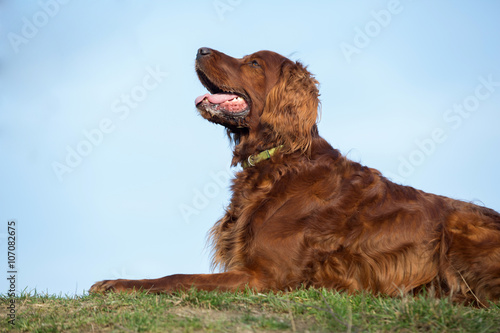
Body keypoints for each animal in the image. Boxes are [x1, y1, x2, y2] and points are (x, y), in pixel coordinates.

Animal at [91, 48, 500, 304]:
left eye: (254, 62)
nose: (200, 50)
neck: (278, 160)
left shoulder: (262, 276)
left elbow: (174, 278)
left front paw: (115, 283)